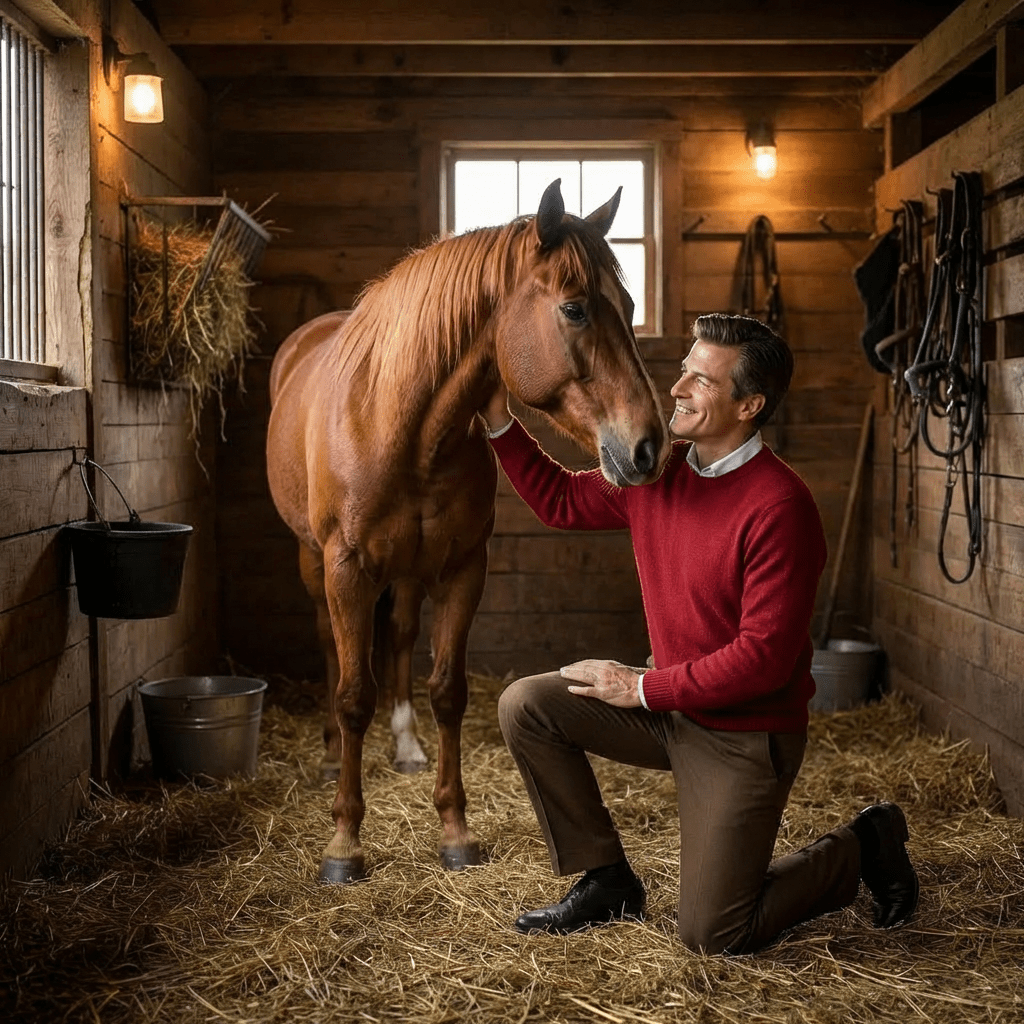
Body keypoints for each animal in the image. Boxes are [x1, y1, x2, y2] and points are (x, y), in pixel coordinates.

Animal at [266, 178, 669, 884]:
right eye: (575, 310)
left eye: (628, 306)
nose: (648, 447)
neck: (403, 426)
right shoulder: (348, 569)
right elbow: (352, 693)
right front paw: (344, 842)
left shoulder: (461, 569)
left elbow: (447, 691)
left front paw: (454, 829)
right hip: (315, 564)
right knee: (331, 647)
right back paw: (329, 753)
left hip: (406, 571)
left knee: (400, 638)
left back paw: (405, 745)